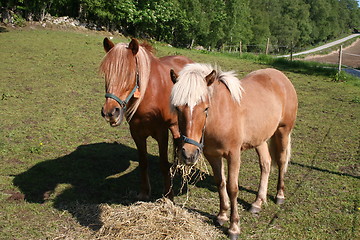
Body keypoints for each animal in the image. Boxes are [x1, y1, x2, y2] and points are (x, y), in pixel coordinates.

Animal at [100, 38, 193, 201]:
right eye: (107, 73)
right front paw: (144, 192)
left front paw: (168, 195)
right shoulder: (136, 133)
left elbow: (163, 164)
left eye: (130, 74)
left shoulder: (162, 133)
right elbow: (143, 162)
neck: (149, 95)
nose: (110, 112)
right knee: (177, 141)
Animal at [171, 62, 298, 239]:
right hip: (260, 139)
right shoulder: (213, 155)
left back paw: (279, 195)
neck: (221, 115)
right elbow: (220, 183)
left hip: (283, 132)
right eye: (177, 108)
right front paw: (222, 215)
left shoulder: (233, 155)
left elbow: (232, 188)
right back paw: (258, 202)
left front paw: (234, 227)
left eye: (205, 108)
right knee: (266, 164)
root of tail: (281, 77)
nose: (188, 154)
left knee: (281, 161)